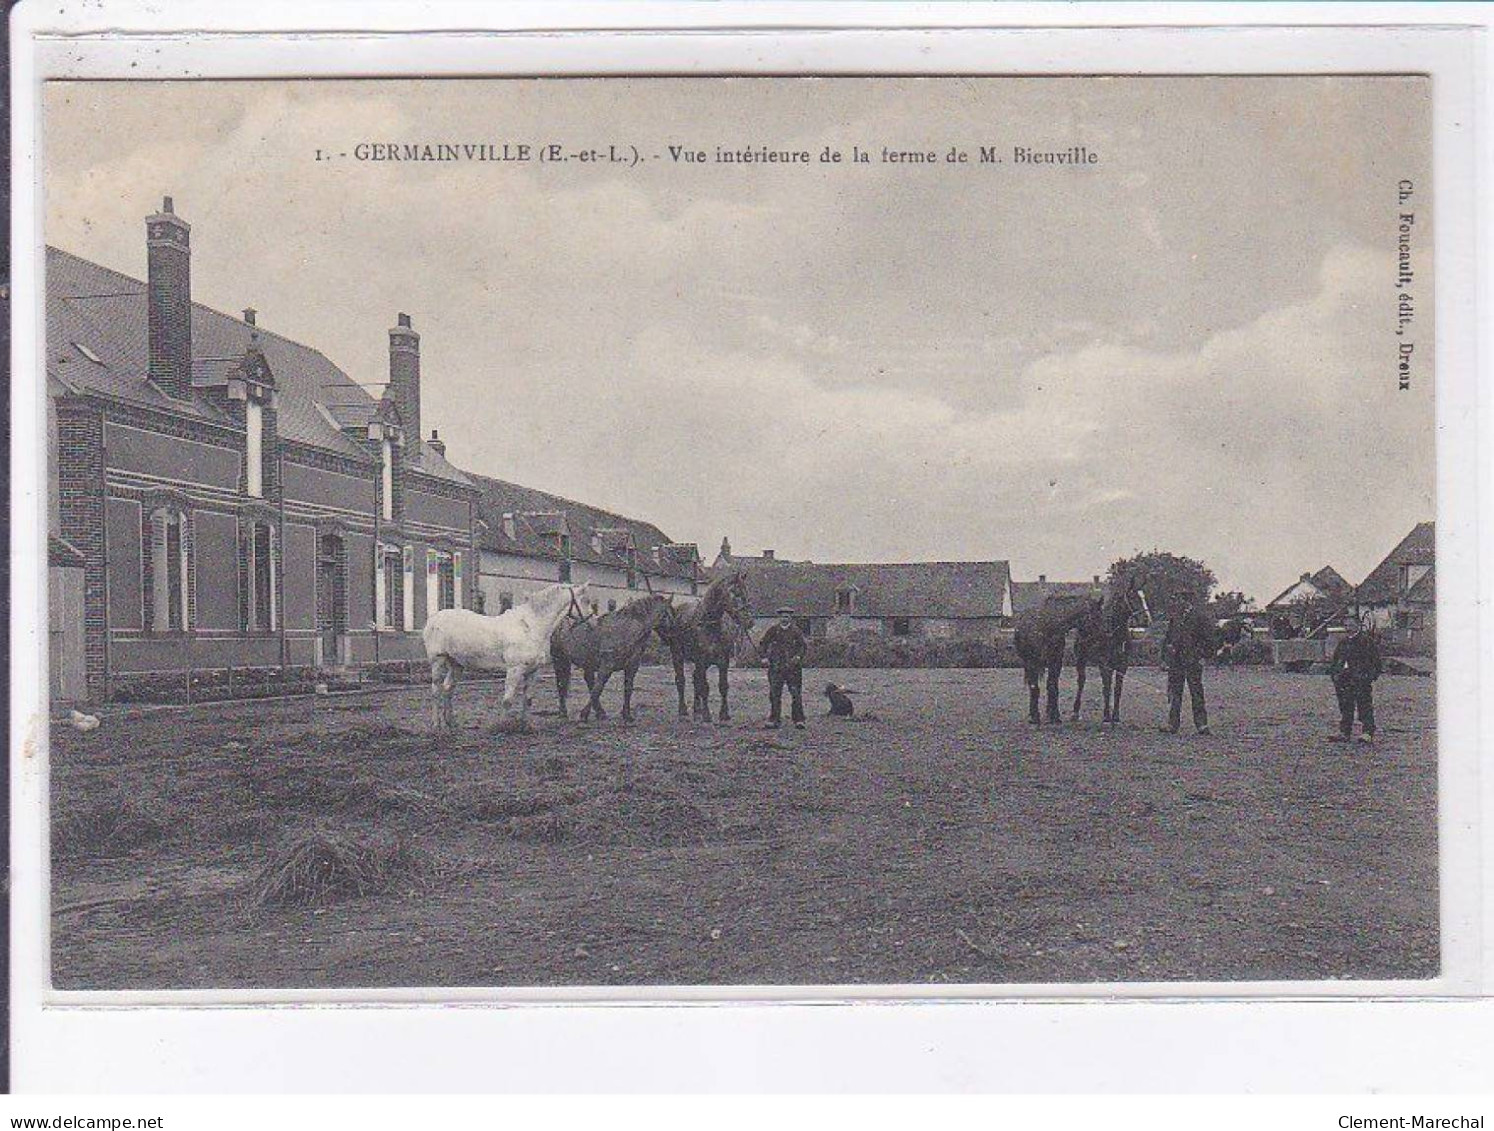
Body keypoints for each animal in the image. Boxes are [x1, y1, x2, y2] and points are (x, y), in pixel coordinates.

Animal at [421, 582, 588, 732]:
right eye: (584, 600)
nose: (590, 619)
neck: (531, 627)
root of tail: (433, 619)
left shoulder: (533, 671)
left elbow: (527, 699)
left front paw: (525, 726)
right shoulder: (514, 669)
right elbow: (507, 700)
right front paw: (502, 726)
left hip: (456, 664)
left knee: (448, 689)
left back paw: (451, 723)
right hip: (438, 661)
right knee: (436, 691)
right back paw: (436, 725)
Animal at [552, 591, 675, 723]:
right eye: (668, 613)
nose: (671, 637)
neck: (625, 631)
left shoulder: (632, 666)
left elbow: (628, 688)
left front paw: (627, 715)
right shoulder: (607, 666)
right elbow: (598, 688)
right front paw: (584, 714)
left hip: (587, 663)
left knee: (586, 681)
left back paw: (598, 712)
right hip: (560, 660)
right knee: (561, 684)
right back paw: (564, 712)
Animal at [660, 567, 752, 720]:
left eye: (747, 591)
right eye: (736, 593)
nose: (749, 621)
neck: (710, 625)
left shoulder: (723, 661)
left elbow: (723, 686)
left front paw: (724, 714)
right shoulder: (701, 660)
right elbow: (704, 687)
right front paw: (707, 714)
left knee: (695, 679)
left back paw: (697, 710)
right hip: (677, 656)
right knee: (681, 680)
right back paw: (683, 710)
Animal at [1009, 591, 1093, 723]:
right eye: (1097, 614)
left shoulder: (1054, 661)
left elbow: (1052, 684)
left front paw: (1052, 714)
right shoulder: (1045, 661)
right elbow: (1045, 686)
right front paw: (1047, 715)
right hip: (1032, 663)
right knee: (1034, 685)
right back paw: (1035, 714)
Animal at [1075, 567, 1153, 720]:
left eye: (1144, 597)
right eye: (1132, 597)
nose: (1146, 620)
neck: (1114, 633)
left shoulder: (1122, 665)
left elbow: (1117, 689)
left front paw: (1115, 715)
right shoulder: (1106, 664)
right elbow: (1107, 687)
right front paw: (1106, 715)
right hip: (1081, 658)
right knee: (1081, 681)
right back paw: (1075, 711)